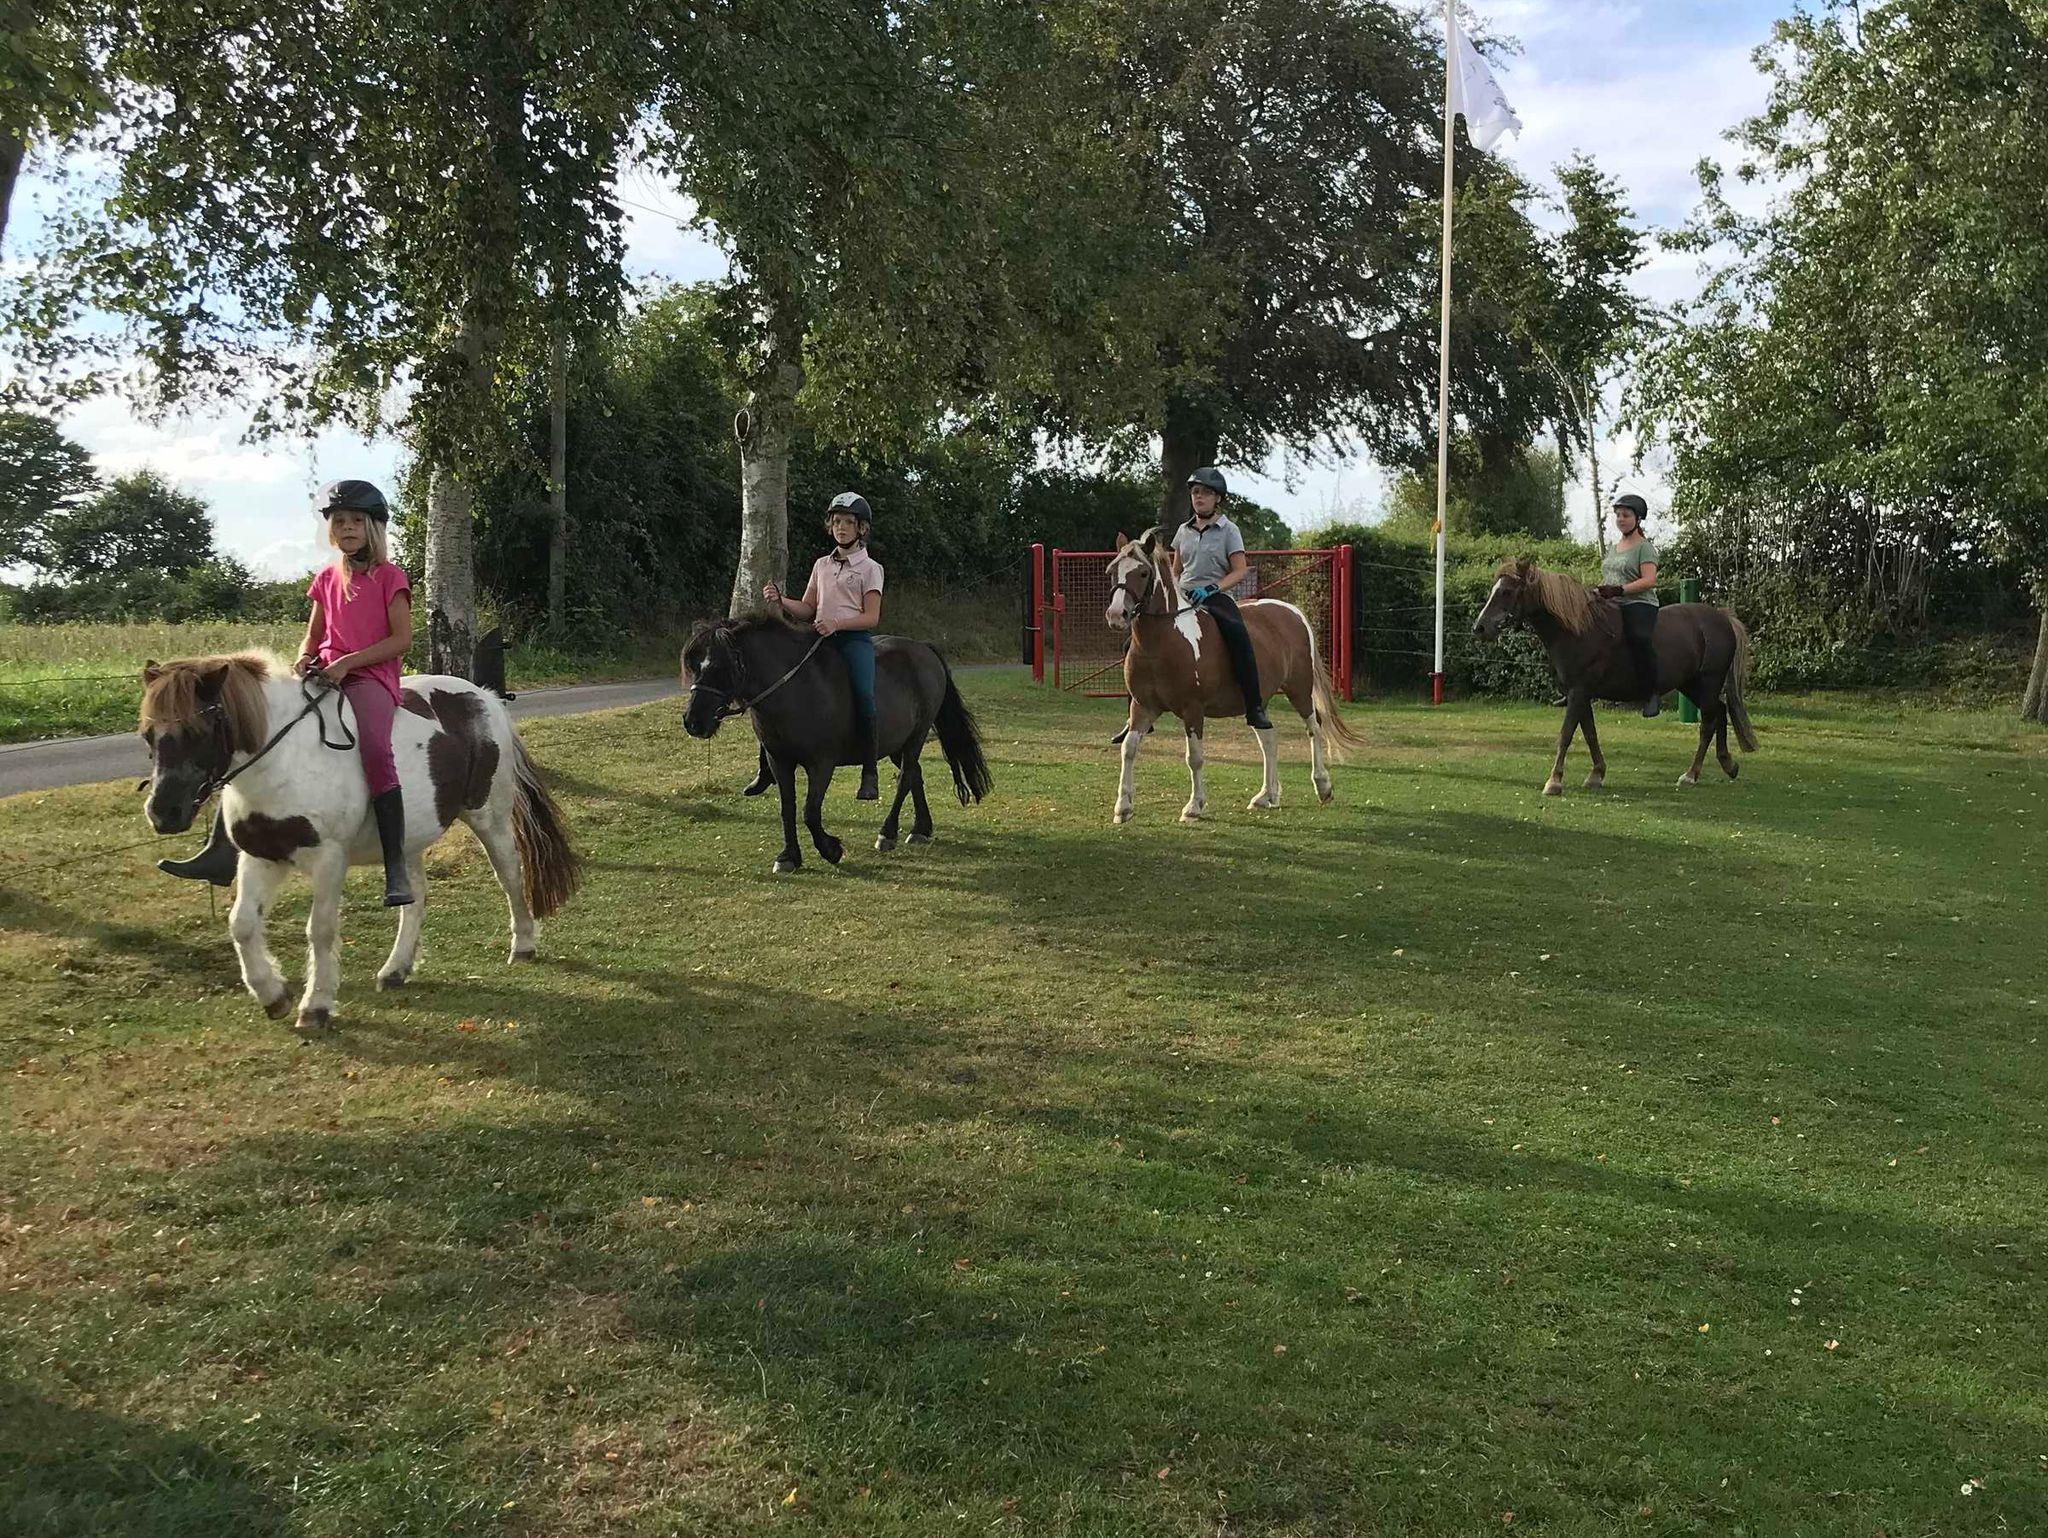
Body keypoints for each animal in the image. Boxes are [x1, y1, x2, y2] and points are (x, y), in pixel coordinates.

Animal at [139, 654, 581, 1028]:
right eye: (147, 735)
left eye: (197, 731)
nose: (164, 812)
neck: (284, 760)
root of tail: (485, 697)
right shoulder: (261, 856)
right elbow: (242, 924)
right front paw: (273, 995)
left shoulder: (329, 859)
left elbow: (320, 929)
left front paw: (315, 1006)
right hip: (407, 840)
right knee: (415, 898)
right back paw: (396, 969)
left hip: (489, 817)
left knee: (509, 874)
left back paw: (523, 944)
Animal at [681, 617, 992, 874]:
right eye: (695, 667)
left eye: (721, 667)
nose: (692, 722)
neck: (796, 690)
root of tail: (924, 650)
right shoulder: (778, 760)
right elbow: (787, 808)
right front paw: (789, 857)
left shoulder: (822, 763)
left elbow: (810, 811)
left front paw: (830, 850)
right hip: (897, 745)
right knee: (915, 775)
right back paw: (920, 829)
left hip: (916, 736)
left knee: (905, 779)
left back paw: (887, 833)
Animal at [1105, 526, 1361, 824]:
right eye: (1113, 570)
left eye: (1143, 572)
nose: (1116, 614)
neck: (1164, 640)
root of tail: (1292, 612)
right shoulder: (1143, 706)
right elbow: (1129, 749)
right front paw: (1123, 807)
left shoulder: (1193, 709)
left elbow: (1194, 757)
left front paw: (1194, 806)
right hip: (1256, 702)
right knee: (1269, 739)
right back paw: (1266, 796)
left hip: (1299, 689)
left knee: (1314, 728)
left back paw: (1323, 786)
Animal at [1472, 558, 1759, 796]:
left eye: (1507, 592)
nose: (1480, 627)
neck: (1579, 630)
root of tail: (1722, 618)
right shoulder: (1581, 695)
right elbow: (1590, 733)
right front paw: (1596, 774)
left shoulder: (1578, 692)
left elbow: (1566, 735)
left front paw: (1554, 781)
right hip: (1691, 686)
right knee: (1720, 712)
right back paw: (1728, 764)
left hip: (1708, 683)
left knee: (1709, 722)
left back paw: (1691, 774)